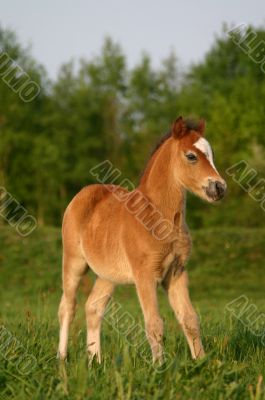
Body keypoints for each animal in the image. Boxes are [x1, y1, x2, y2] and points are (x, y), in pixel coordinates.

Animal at [57, 115, 225, 362]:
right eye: (191, 156)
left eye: (211, 154)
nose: (219, 188)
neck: (160, 219)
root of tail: (82, 194)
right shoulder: (145, 275)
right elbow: (154, 324)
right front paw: (160, 366)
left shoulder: (176, 273)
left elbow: (190, 319)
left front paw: (202, 363)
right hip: (74, 261)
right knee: (68, 307)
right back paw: (61, 358)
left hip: (107, 274)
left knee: (93, 308)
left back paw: (95, 361)